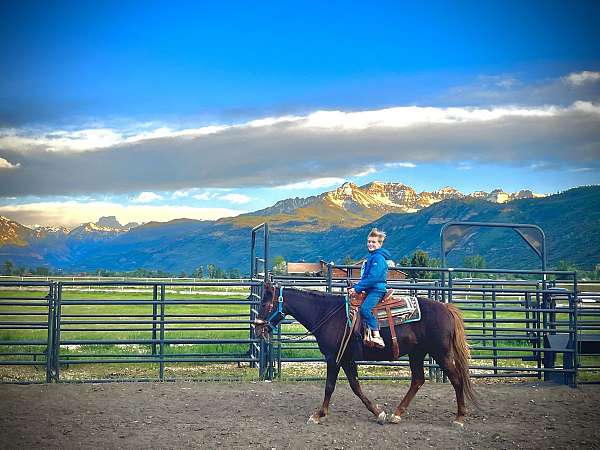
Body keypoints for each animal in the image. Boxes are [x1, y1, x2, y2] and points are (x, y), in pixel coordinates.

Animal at [255, 284, 476, 428]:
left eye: (265, 304)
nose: (258, 329)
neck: (326, 313)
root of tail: (445, 308)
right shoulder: (346, 359)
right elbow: (355, 386)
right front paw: (379, 413)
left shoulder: (334, 357)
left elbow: (329, 386)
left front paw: (318, 415)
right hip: (417, 353)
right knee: (418, 380)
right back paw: (397, 414)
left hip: (441, 353)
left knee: (456, 380)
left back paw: (459, 418)